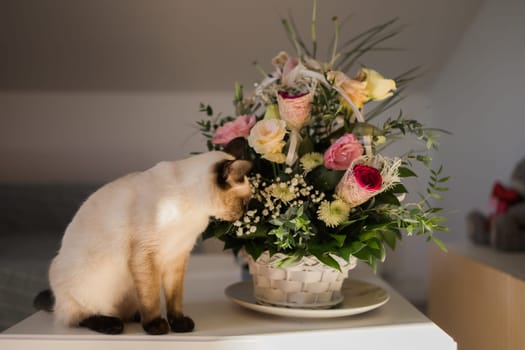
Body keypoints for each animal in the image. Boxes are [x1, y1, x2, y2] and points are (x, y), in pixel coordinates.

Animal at [33, 151, 251, 336]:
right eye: (243, 202)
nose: (243, 214)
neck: (192, 211)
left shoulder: (177, 255)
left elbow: (174, 297)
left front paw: (178, 323)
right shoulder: (147, 254)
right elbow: (152, 298)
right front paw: (156, 326)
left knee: (126, 311)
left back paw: (136, 316)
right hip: (87, 288)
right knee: (79, 317)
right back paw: (112, 324)